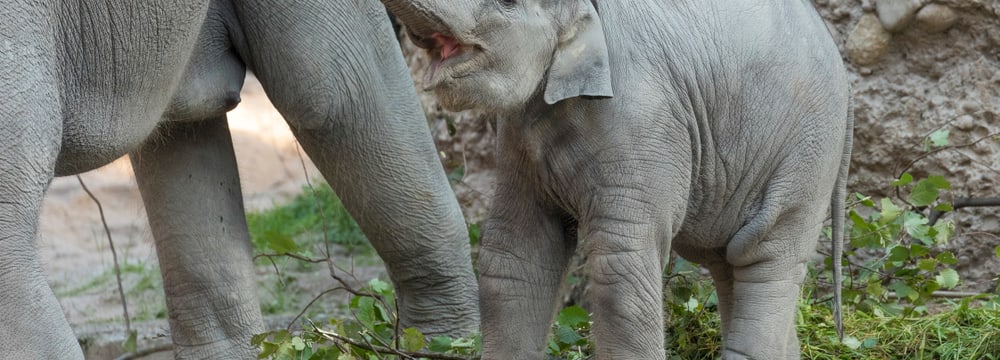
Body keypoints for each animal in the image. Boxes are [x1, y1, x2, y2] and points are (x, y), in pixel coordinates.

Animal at [382, 0, 852, 358]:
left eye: (507, 2)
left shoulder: (642, 117)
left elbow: (619, 262)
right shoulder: (518, 141)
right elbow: (515, 256)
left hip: (807, 152)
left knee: (763, 252)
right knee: (729, 261)